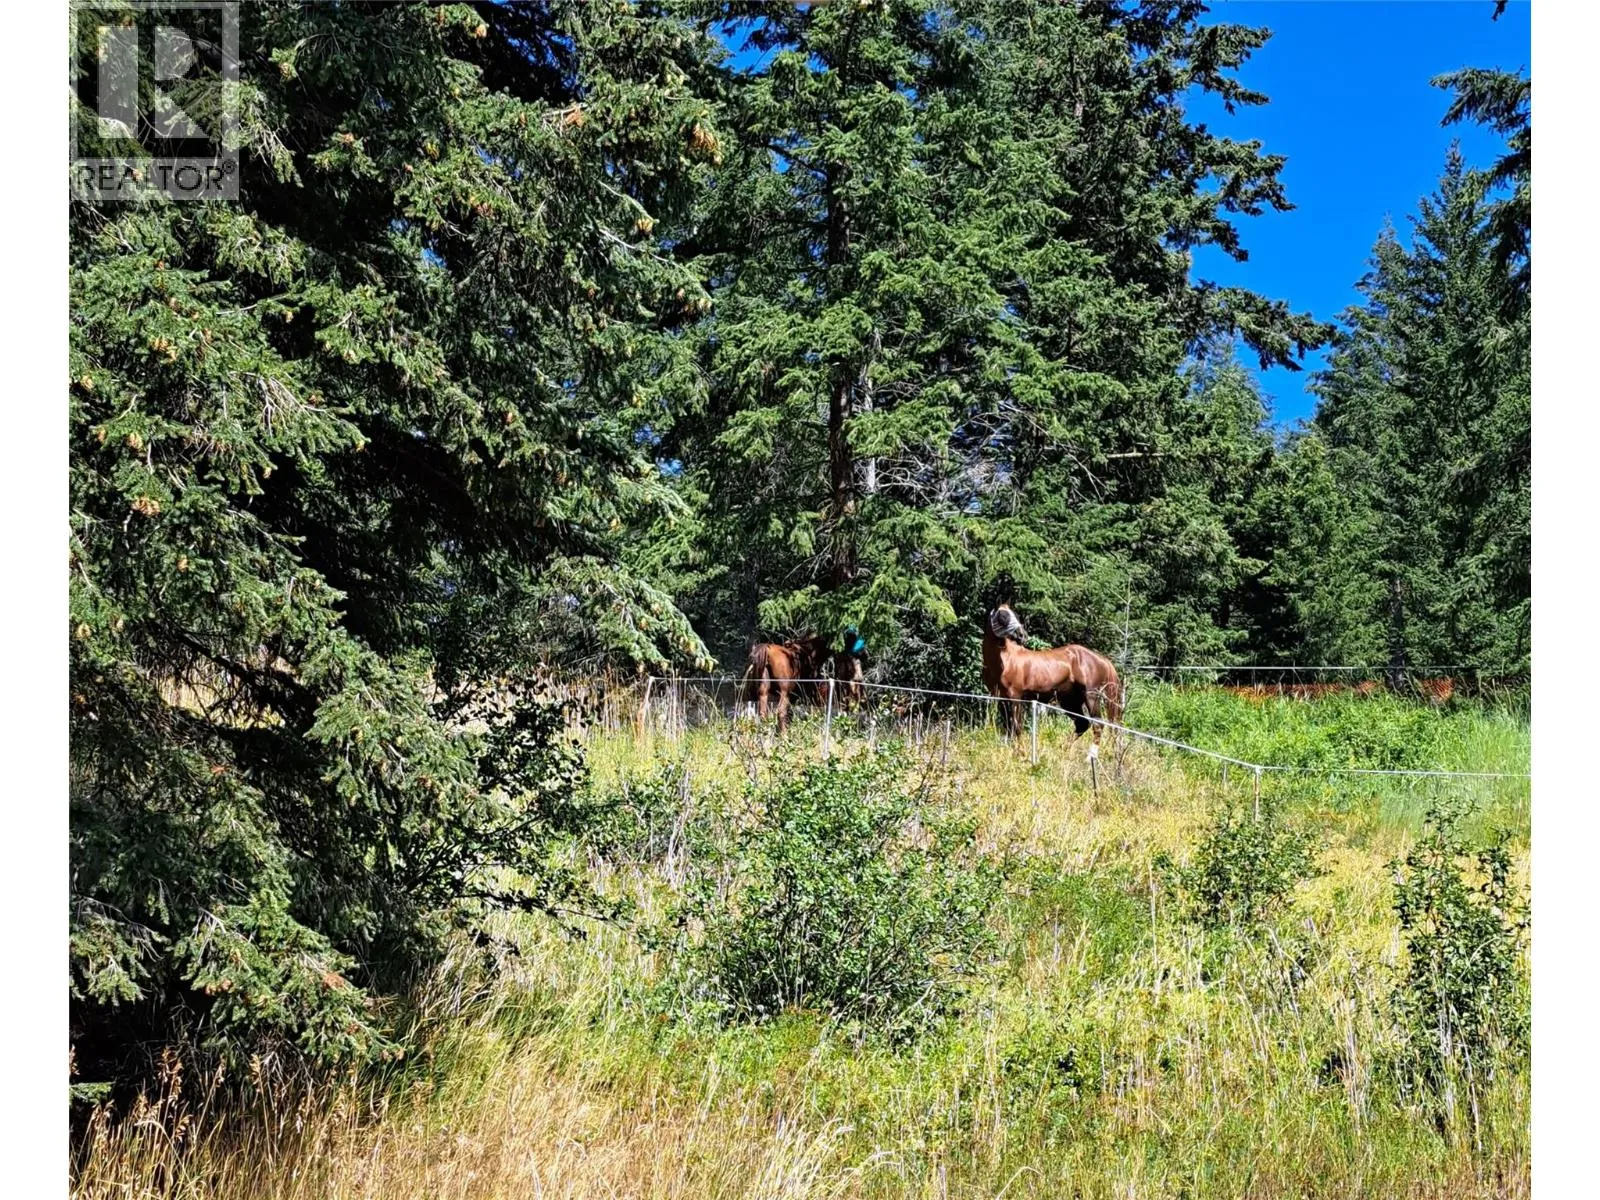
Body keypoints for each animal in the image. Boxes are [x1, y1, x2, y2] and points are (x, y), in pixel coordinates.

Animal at [981, 604, 1123, 759]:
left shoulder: (1016, 698)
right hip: (1070, 701)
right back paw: (1063, 751)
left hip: (1090, 696)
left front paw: (1022, 754)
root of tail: (1102, 659)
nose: (1022, 635)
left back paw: (1089, 757)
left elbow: (1017, 727)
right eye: (1003, 616)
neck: (1006, 661)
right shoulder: (1001, 699)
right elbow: (1008, 728)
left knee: (1098, 724)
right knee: (1082, 723)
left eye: (1015, 615)